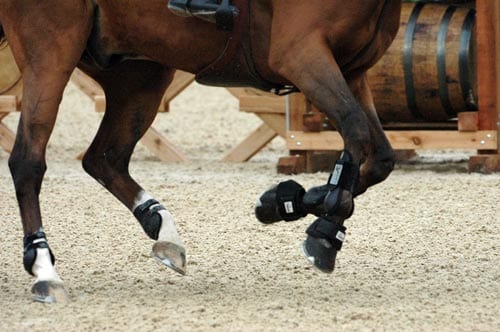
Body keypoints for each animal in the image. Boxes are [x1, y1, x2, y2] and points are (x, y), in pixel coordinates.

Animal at [0, 0, 400, 302]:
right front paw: (323, 232)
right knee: (28, 162)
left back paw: (162, 228)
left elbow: (379, 157)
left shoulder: (351, 70)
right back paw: (44, 269)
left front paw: (284, 203)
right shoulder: (301, 54)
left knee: (104, 158)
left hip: (139, 70)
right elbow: (356, 132)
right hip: (52, 48)